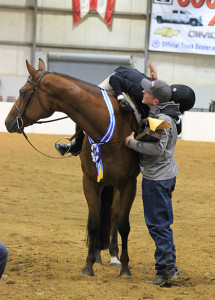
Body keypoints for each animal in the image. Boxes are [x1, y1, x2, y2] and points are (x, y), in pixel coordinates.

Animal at [5, 58, 140, 276]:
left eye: (23, 92)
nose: (8, 122)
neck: (109, 128)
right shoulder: (90, 182)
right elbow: (94, 223)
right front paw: (88, 265)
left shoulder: (129, 184)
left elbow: (123, 225)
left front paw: (125, 268)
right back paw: (99, 255)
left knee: (113, 217)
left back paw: (114, 256)